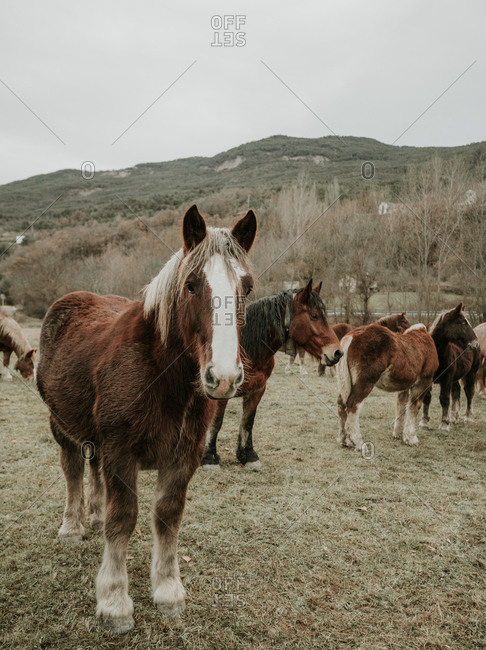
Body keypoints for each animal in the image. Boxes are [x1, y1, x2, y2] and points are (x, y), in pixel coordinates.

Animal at [36, 205, 257, 634]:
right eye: (191, 285)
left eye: (248, 287)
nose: (223, 377)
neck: (161, 374)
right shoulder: (121, 452)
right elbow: (122, 520)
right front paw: (115, 602)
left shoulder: (184, 457)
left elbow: (167, 517)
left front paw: (168, 592)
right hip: (61, 426)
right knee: (72, 470)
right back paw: (72, 525)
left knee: (92, 470)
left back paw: (92, 512)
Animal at [201, 280, 343, 469]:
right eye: (314, 315)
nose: (337, 352)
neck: (246, 350)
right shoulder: (219, 394)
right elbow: (216, 422)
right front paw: (209, 458)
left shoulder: (257, 390)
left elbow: (247, 422)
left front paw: (248, 455)